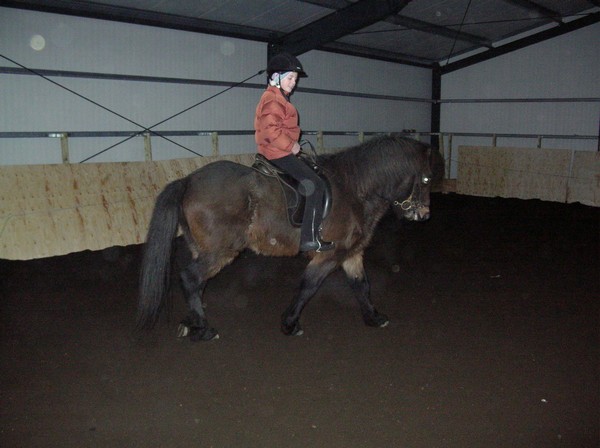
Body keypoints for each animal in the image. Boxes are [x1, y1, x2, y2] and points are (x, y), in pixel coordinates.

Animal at [137, 134, 435, 341]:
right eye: (427, 179)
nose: (423, 214)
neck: (355, 189)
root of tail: (188, 180)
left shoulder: (351, 253)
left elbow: (361, 286)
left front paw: (374, 317)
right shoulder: (330, 254)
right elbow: (308, 286)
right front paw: (290, 324)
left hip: (204, 249)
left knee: (197, 283)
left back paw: (192, 322)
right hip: (221, 251)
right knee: (191, 278)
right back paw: (204, 329)